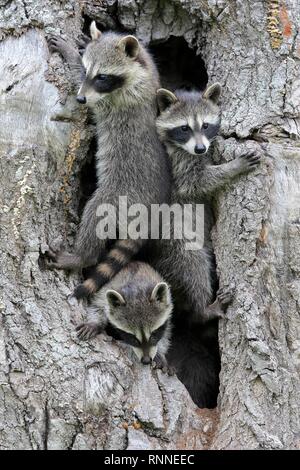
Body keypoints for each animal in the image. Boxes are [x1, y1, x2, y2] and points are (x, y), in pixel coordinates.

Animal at [44, 23, 171, 298]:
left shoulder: (117, 101)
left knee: (96, 214)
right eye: (88, 70)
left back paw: (80, 256)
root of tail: (153, 207)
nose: (80, 100)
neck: (141, 70)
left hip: (120, 195)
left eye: (102, 77)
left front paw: (69, 52)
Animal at [154, 83, 262, 324]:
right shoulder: (178, 163)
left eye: (205, 125)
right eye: (184, 128)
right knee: (193, 267)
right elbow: (195, 183)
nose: (201, 149)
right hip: (176, 240)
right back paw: (203, 309)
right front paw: (233, 167)